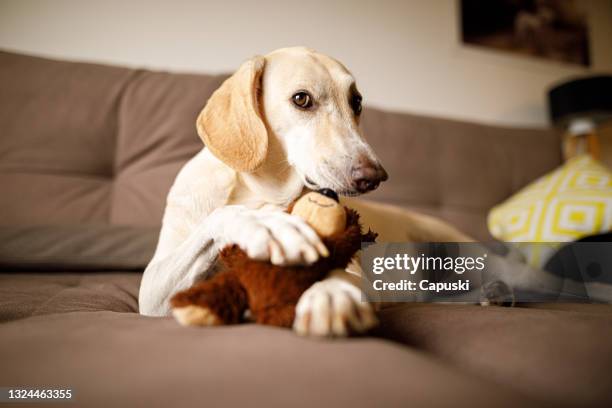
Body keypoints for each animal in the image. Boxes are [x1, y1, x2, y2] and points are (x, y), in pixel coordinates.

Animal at [140, 46, 478, 336]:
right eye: (301, 99)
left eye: (356, 102)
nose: (375, 176)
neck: (262, 192)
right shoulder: (152, 291)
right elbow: (222, 217)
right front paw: (265, 224)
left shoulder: (357, 270)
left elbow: (341, 274)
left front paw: (331, 294)